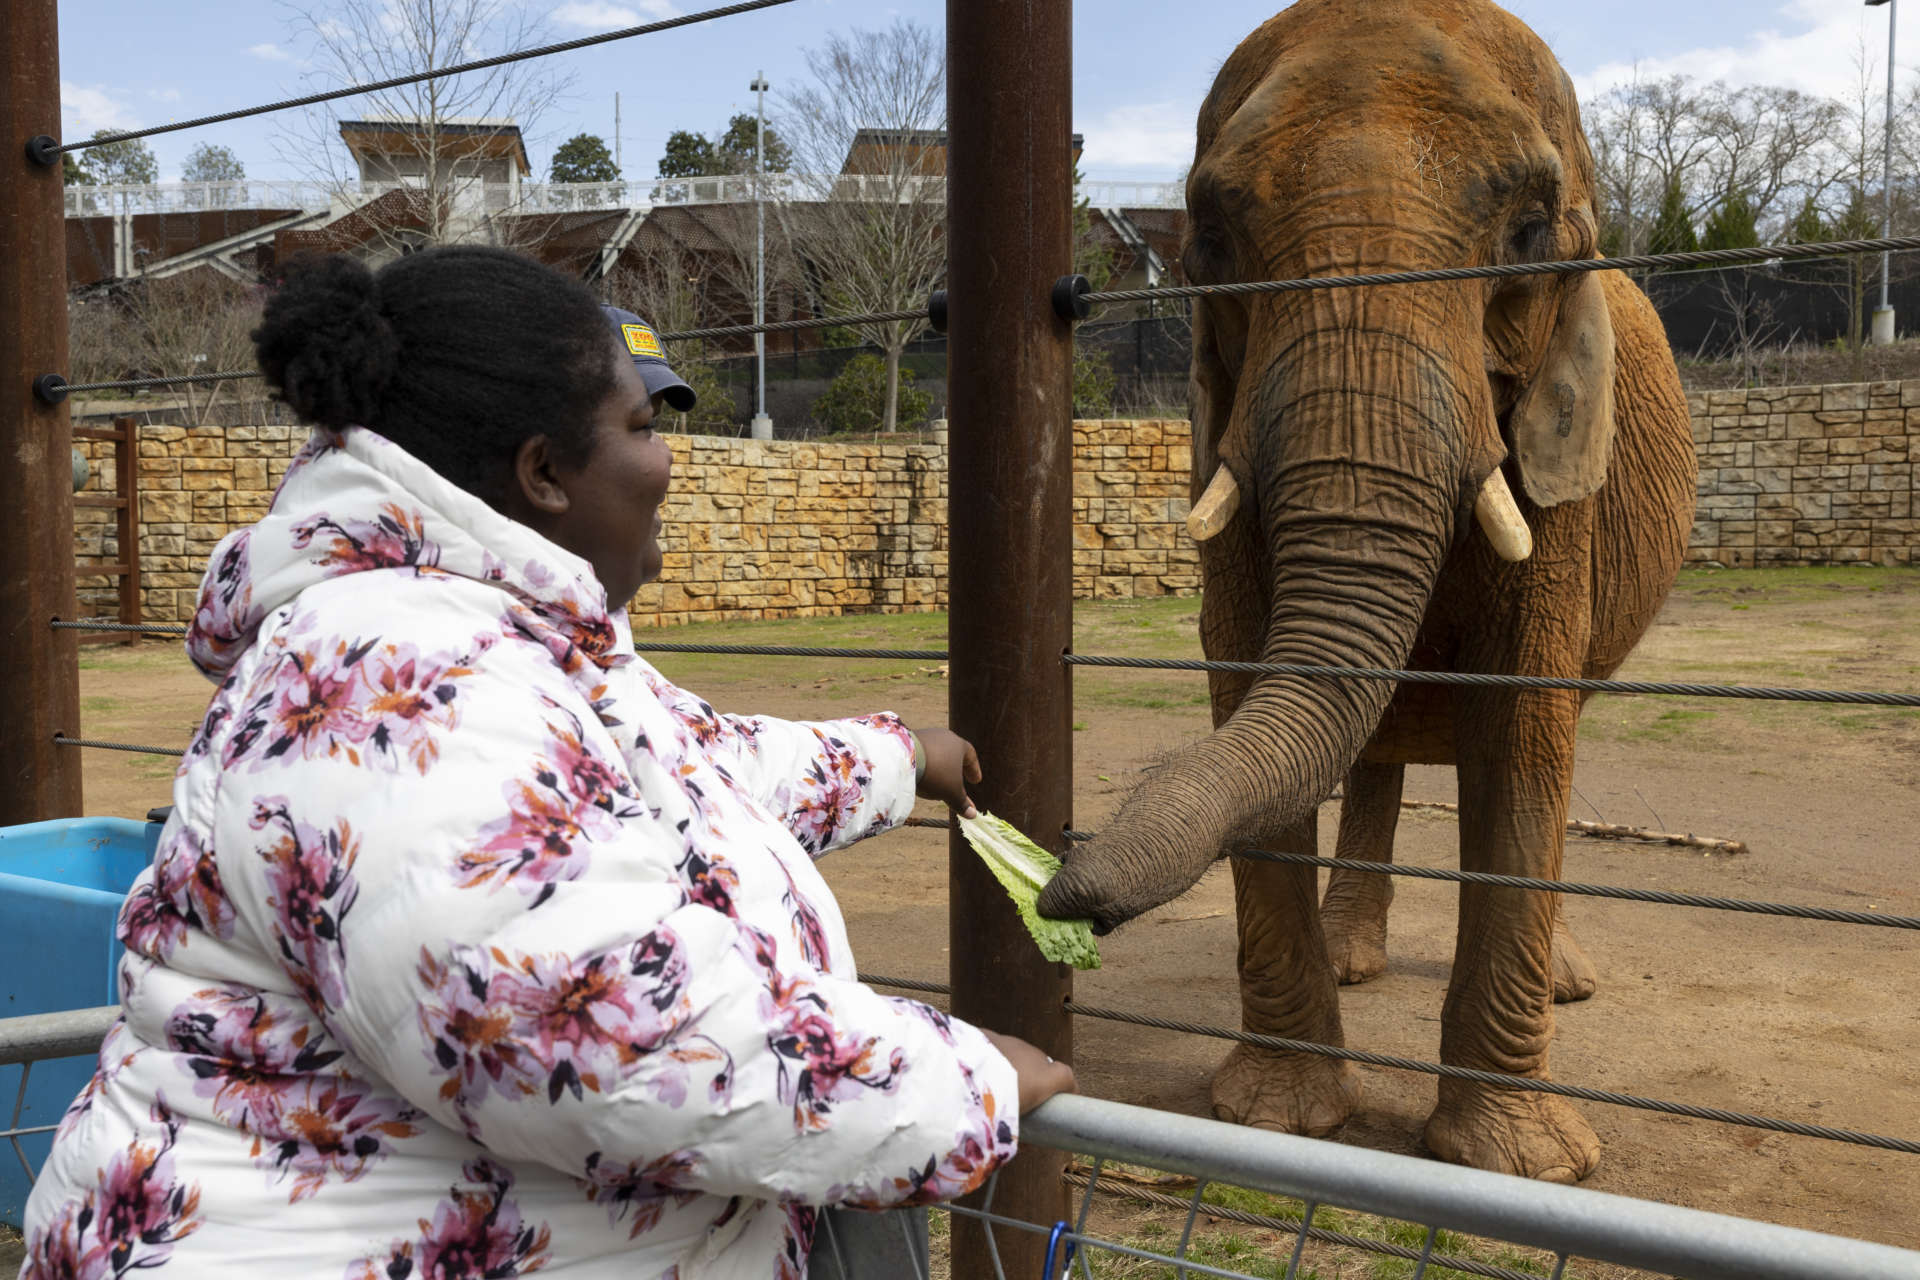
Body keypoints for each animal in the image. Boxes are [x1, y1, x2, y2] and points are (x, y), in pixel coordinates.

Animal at [1036, 0, 1697, 1189]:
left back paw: (1563, 981)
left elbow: (1522, 722)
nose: (1059, 894)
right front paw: (1277, 1123)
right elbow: (1244, 668)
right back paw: (1354, 959)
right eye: (1212, 237)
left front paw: (1517, 1168)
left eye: (1530, 230)